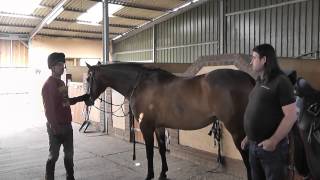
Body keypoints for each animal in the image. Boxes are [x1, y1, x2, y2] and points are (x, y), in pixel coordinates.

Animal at [85, 62, 255, 179]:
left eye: (87, 78)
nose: (87, 100)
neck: (139, 84)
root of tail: (249, 80)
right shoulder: (159, 126)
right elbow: (161, 149)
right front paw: (163, 173)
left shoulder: (146, 126)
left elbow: (149, 152)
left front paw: (150, 175)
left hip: (236, 129)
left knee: (247, 157)